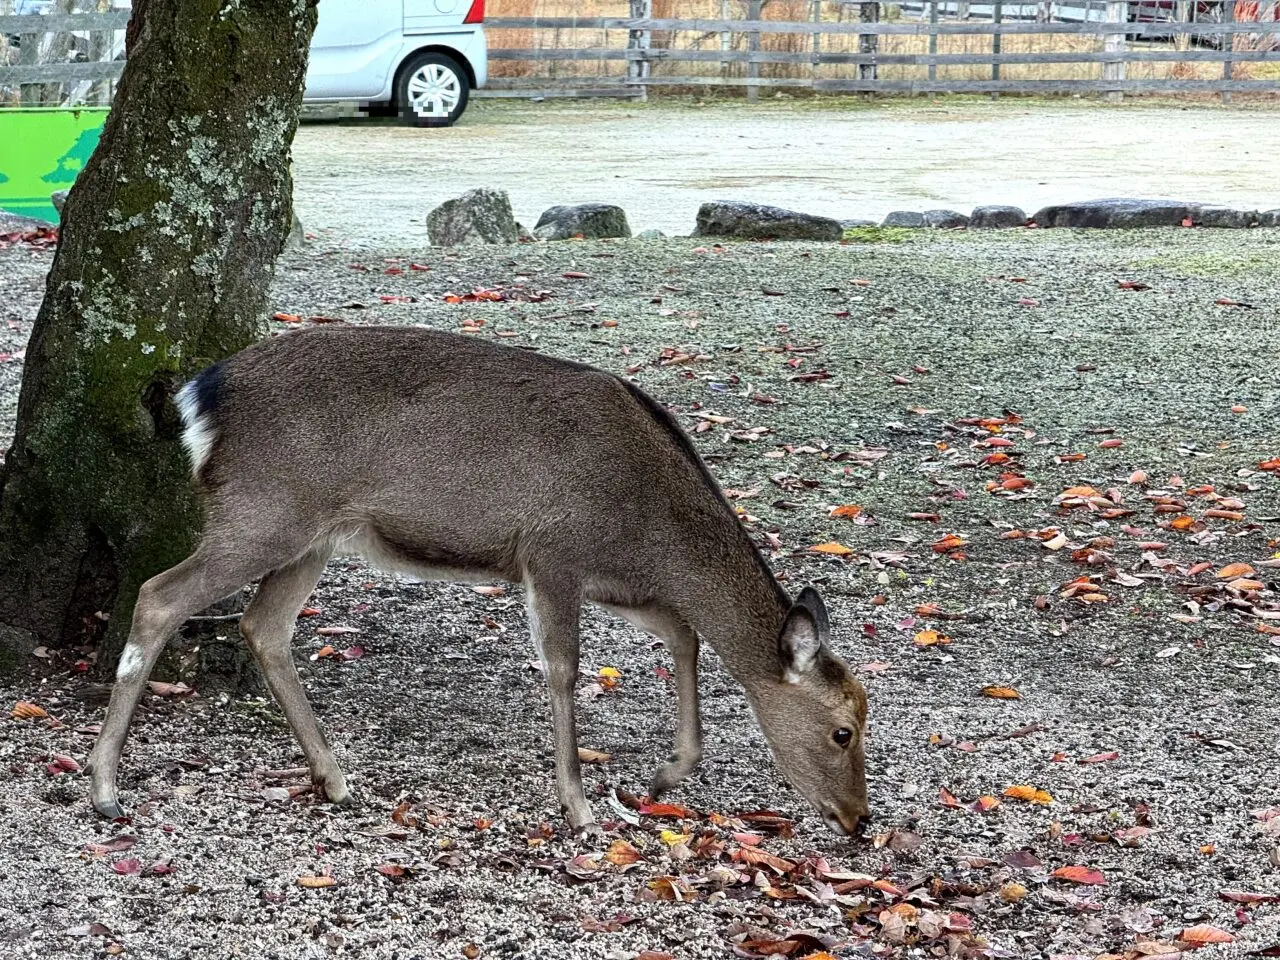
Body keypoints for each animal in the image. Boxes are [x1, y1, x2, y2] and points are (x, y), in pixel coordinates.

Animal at [86, 324, 871, 836]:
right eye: (842, 731)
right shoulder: (554, 551)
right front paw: (580, 807)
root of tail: (196, 395)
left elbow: (684, 633)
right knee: (158, 596)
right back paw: (104, 788)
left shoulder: (618, 579)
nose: (860, 820)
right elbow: (564, 668)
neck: (647, 527)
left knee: (263, 625)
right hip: (262, 513)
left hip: (312, 535)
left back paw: (335, 780)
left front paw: (666, 774)